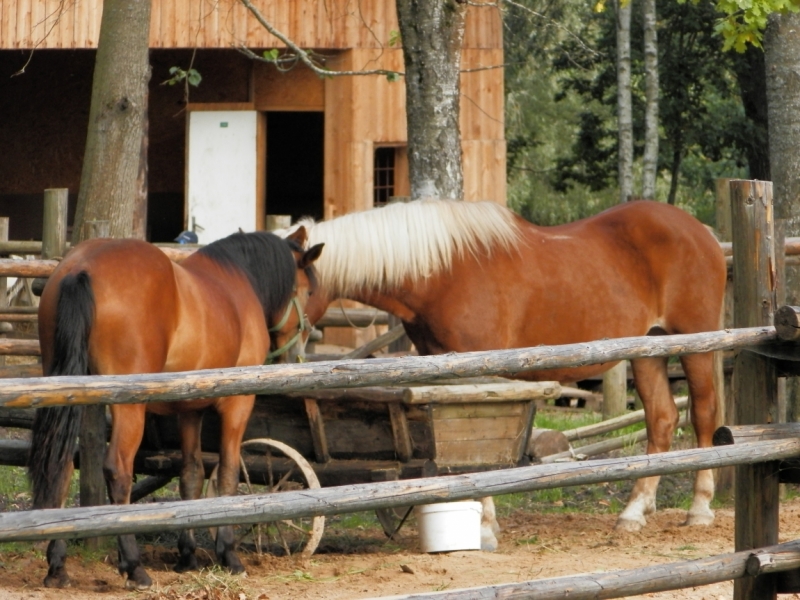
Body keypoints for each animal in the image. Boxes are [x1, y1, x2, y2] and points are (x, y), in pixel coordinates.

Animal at [28, 230, 324, 592]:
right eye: (308, 291)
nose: (298, 353)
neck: (239, 282)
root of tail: (81, 267)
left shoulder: (189, 410)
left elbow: (191, 476)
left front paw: (187, 555)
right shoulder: (238, 403)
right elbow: (228, 473)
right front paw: (229, 554)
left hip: (69, 393)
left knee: (62, 467)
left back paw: (57, 565)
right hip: (128, 405)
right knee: (118, 470)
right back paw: (135, 567)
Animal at [286, 202, 724, 540]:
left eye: (293, 288)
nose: (281, 354)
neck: (443, 272)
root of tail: (701, 231)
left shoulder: (478, 372)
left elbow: (480, 452)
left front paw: (484, 526)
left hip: (693, 344)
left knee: (702, 415)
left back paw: (699, 508)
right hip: (648, 350)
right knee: (662, 420)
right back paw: (635, 511)